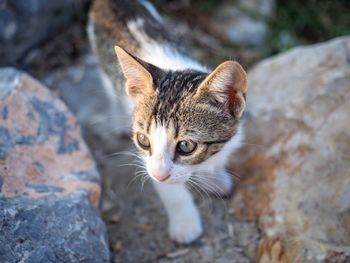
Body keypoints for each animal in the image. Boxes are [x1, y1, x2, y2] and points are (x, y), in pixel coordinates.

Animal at [88, 0, 246, 244]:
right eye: (143, 140)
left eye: (186, 145)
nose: (159, 174)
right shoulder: (148, 161)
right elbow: (171, 190)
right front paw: (185, 223)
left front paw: (213, 177)